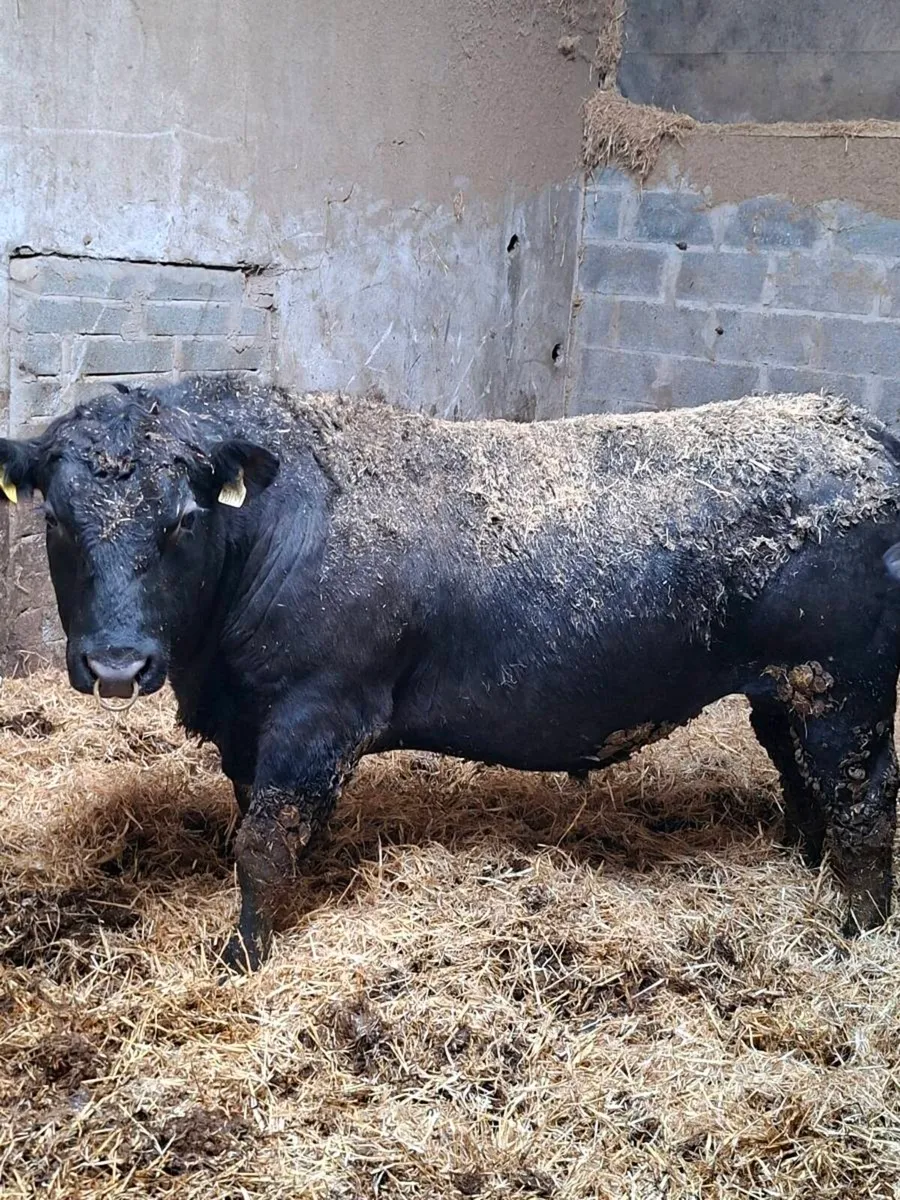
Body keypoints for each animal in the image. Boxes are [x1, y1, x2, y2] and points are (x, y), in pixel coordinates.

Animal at [1, 377, 899, 971]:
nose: (118, 662)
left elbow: (263, 840)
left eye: (185, 520)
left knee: (863, 797)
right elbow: (255, 823)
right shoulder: (248, 725)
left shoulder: (315, 713)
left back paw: (856, 926)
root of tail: (858, 428)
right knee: (800, 779)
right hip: (786, 689)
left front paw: (243, 956)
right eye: (57, 518)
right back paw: (802, 868)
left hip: (845, 688)